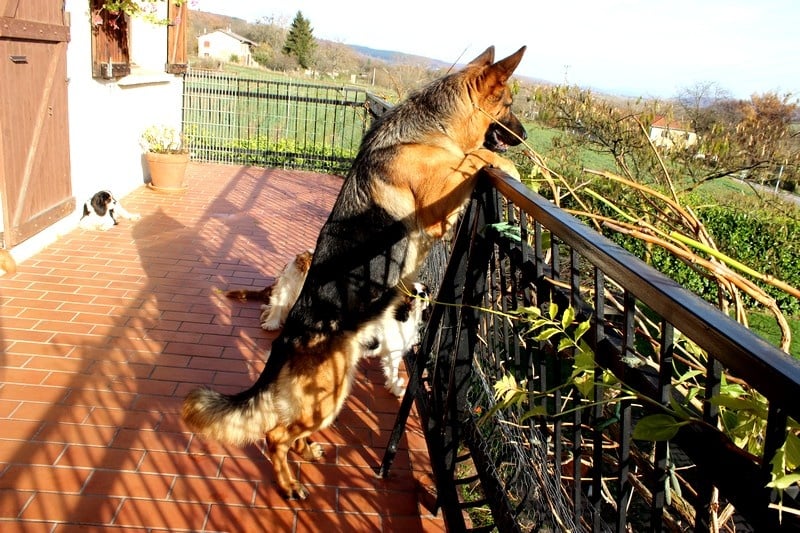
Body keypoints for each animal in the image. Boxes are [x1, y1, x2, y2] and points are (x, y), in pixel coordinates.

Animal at [182, 45, 527, 500]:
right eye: (509, 105)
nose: (526, 138)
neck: (431, 130)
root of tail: (289, 339)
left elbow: (470, 159)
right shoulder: (438, 203)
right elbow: (475, 156)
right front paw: (510, 167)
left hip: (323, 398)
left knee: (289, 431)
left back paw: (307, 452)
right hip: (330, 396)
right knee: (275, 436)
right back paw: (289, 485)